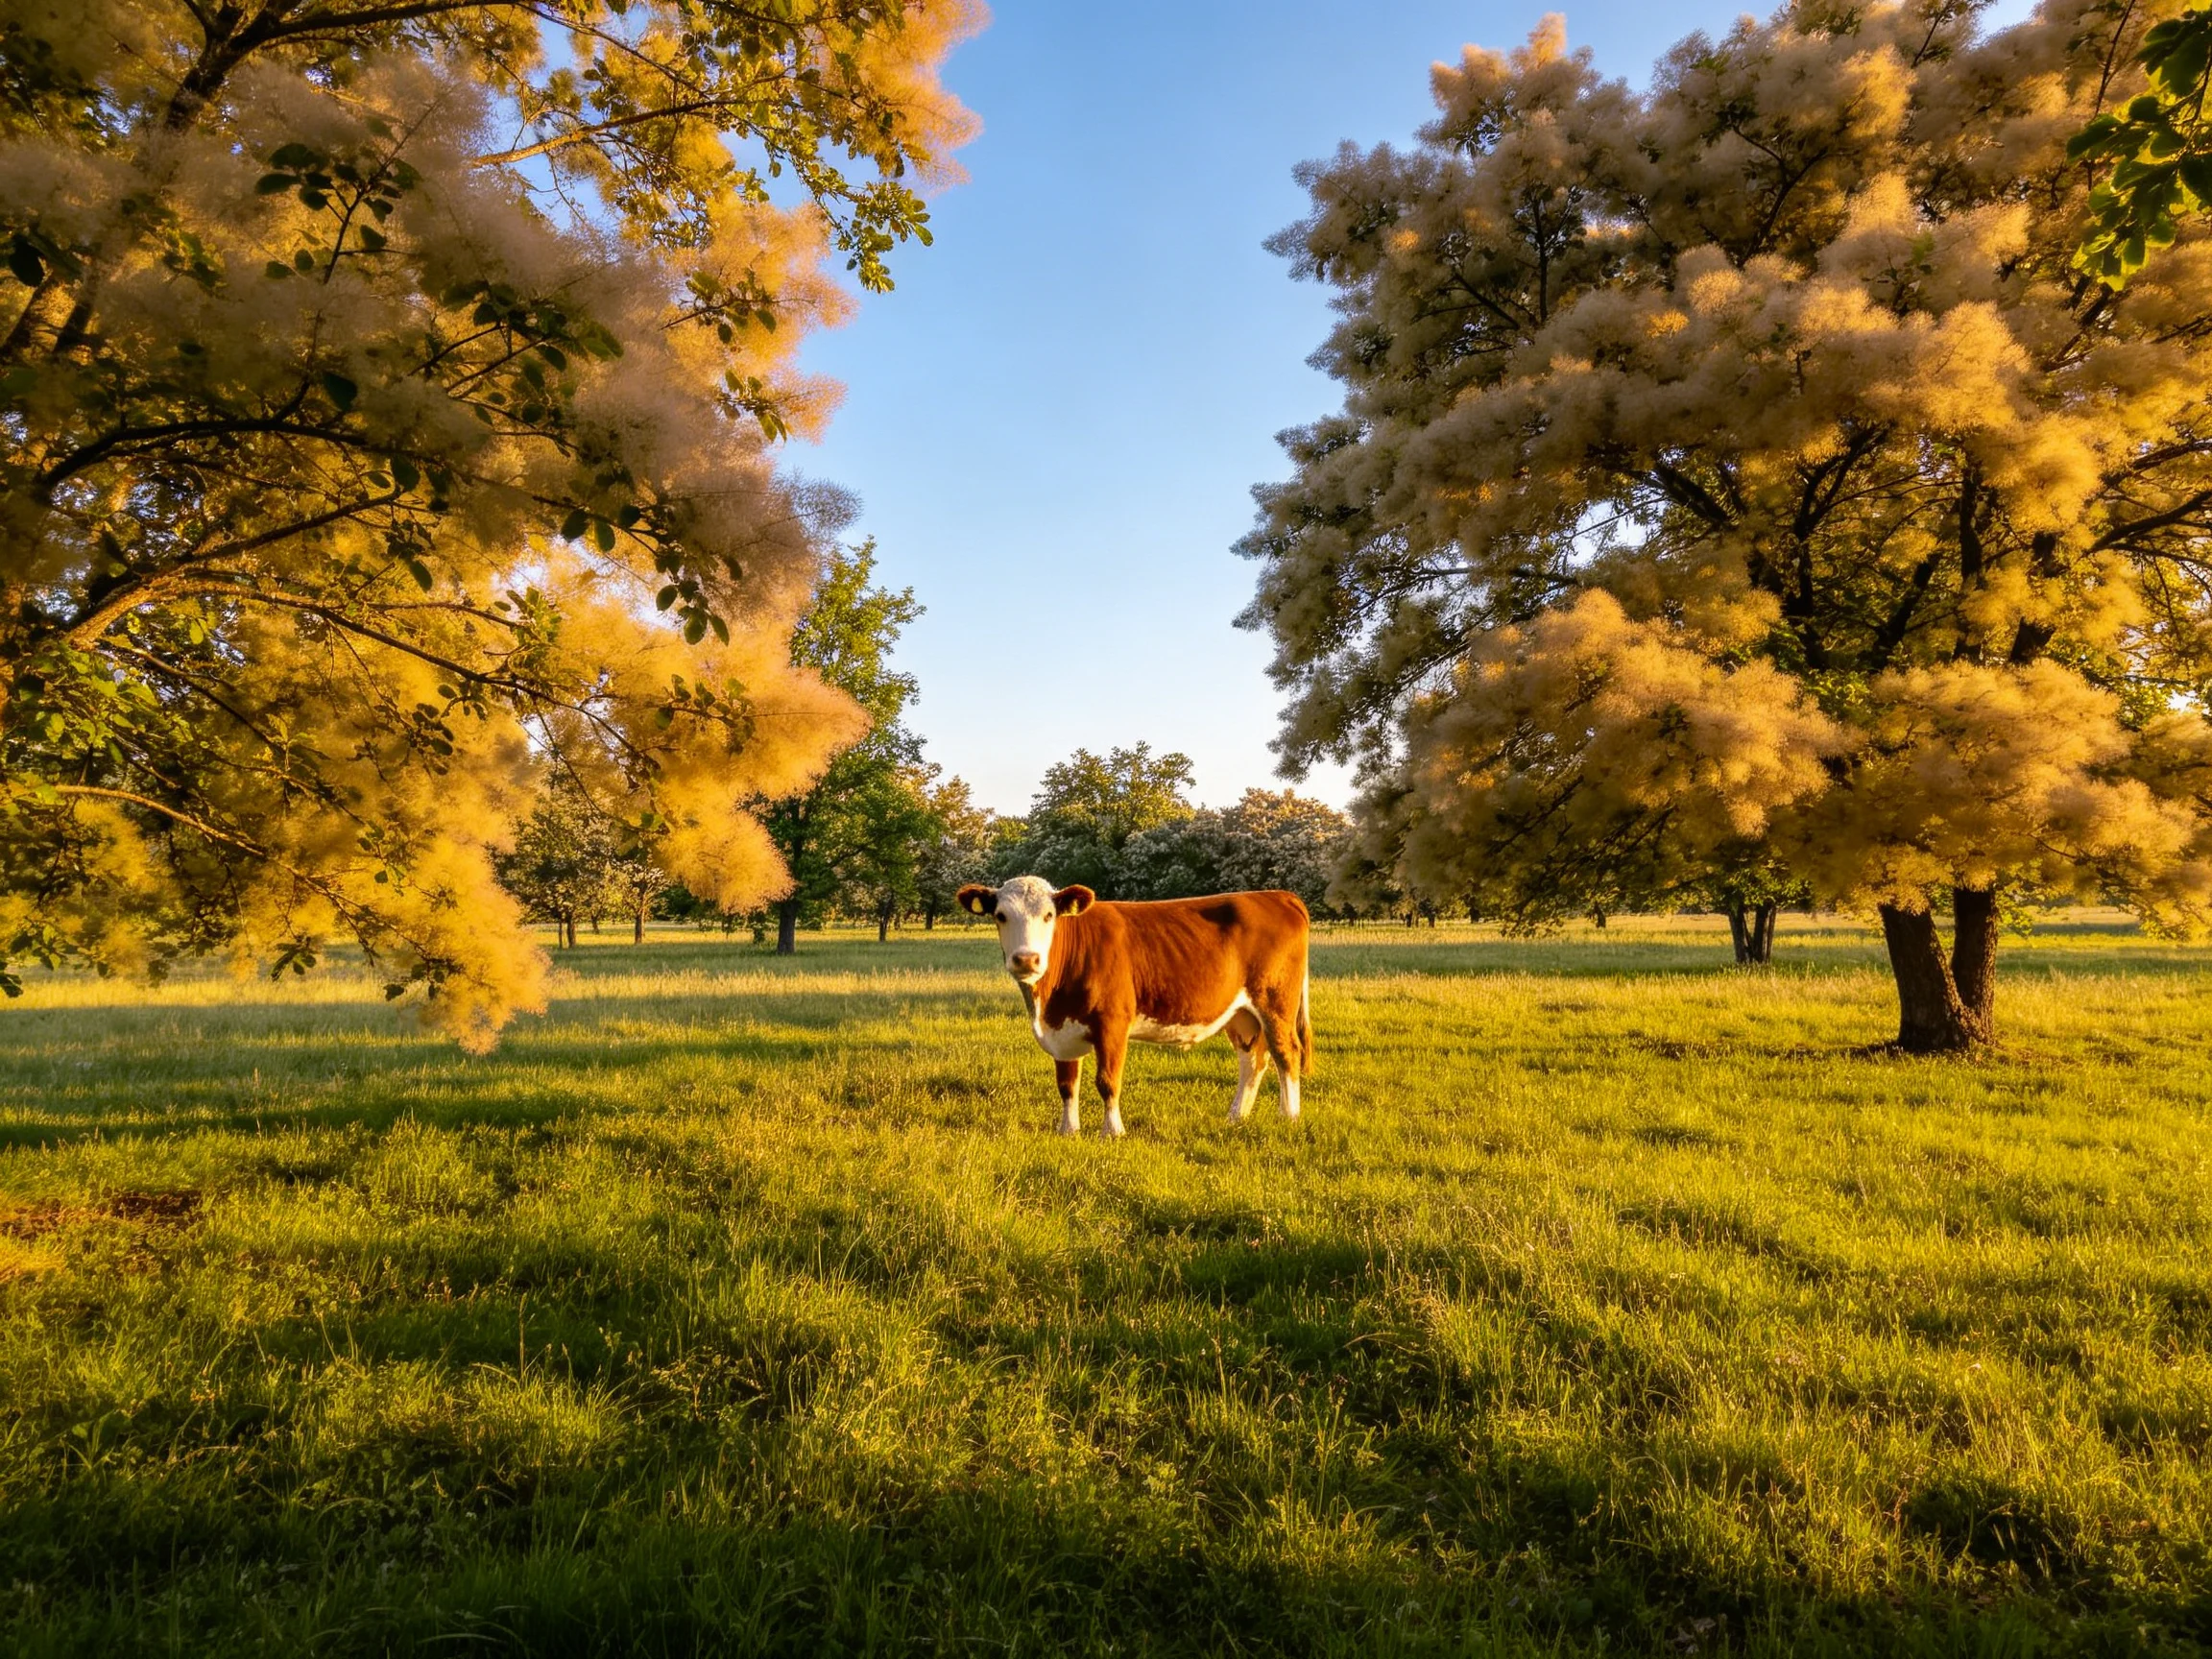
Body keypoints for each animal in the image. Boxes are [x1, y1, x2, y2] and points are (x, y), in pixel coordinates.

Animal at [956, 875, 1312, 1136]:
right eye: (1000, 916)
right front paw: (1068, 1131)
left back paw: (1289, 1117)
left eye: (1049, 915)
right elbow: (1067, 1084)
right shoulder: (1062, 1029)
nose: (1026, 959)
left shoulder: (1112, 1022)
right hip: (1241, 1014)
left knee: (1286, 1053)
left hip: (1275, 1002)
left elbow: (1107, 1080)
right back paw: (1236, 1117)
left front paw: (1113, 1132)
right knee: (1252, 1059)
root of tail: (1278, 895)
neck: (1048, 1004)